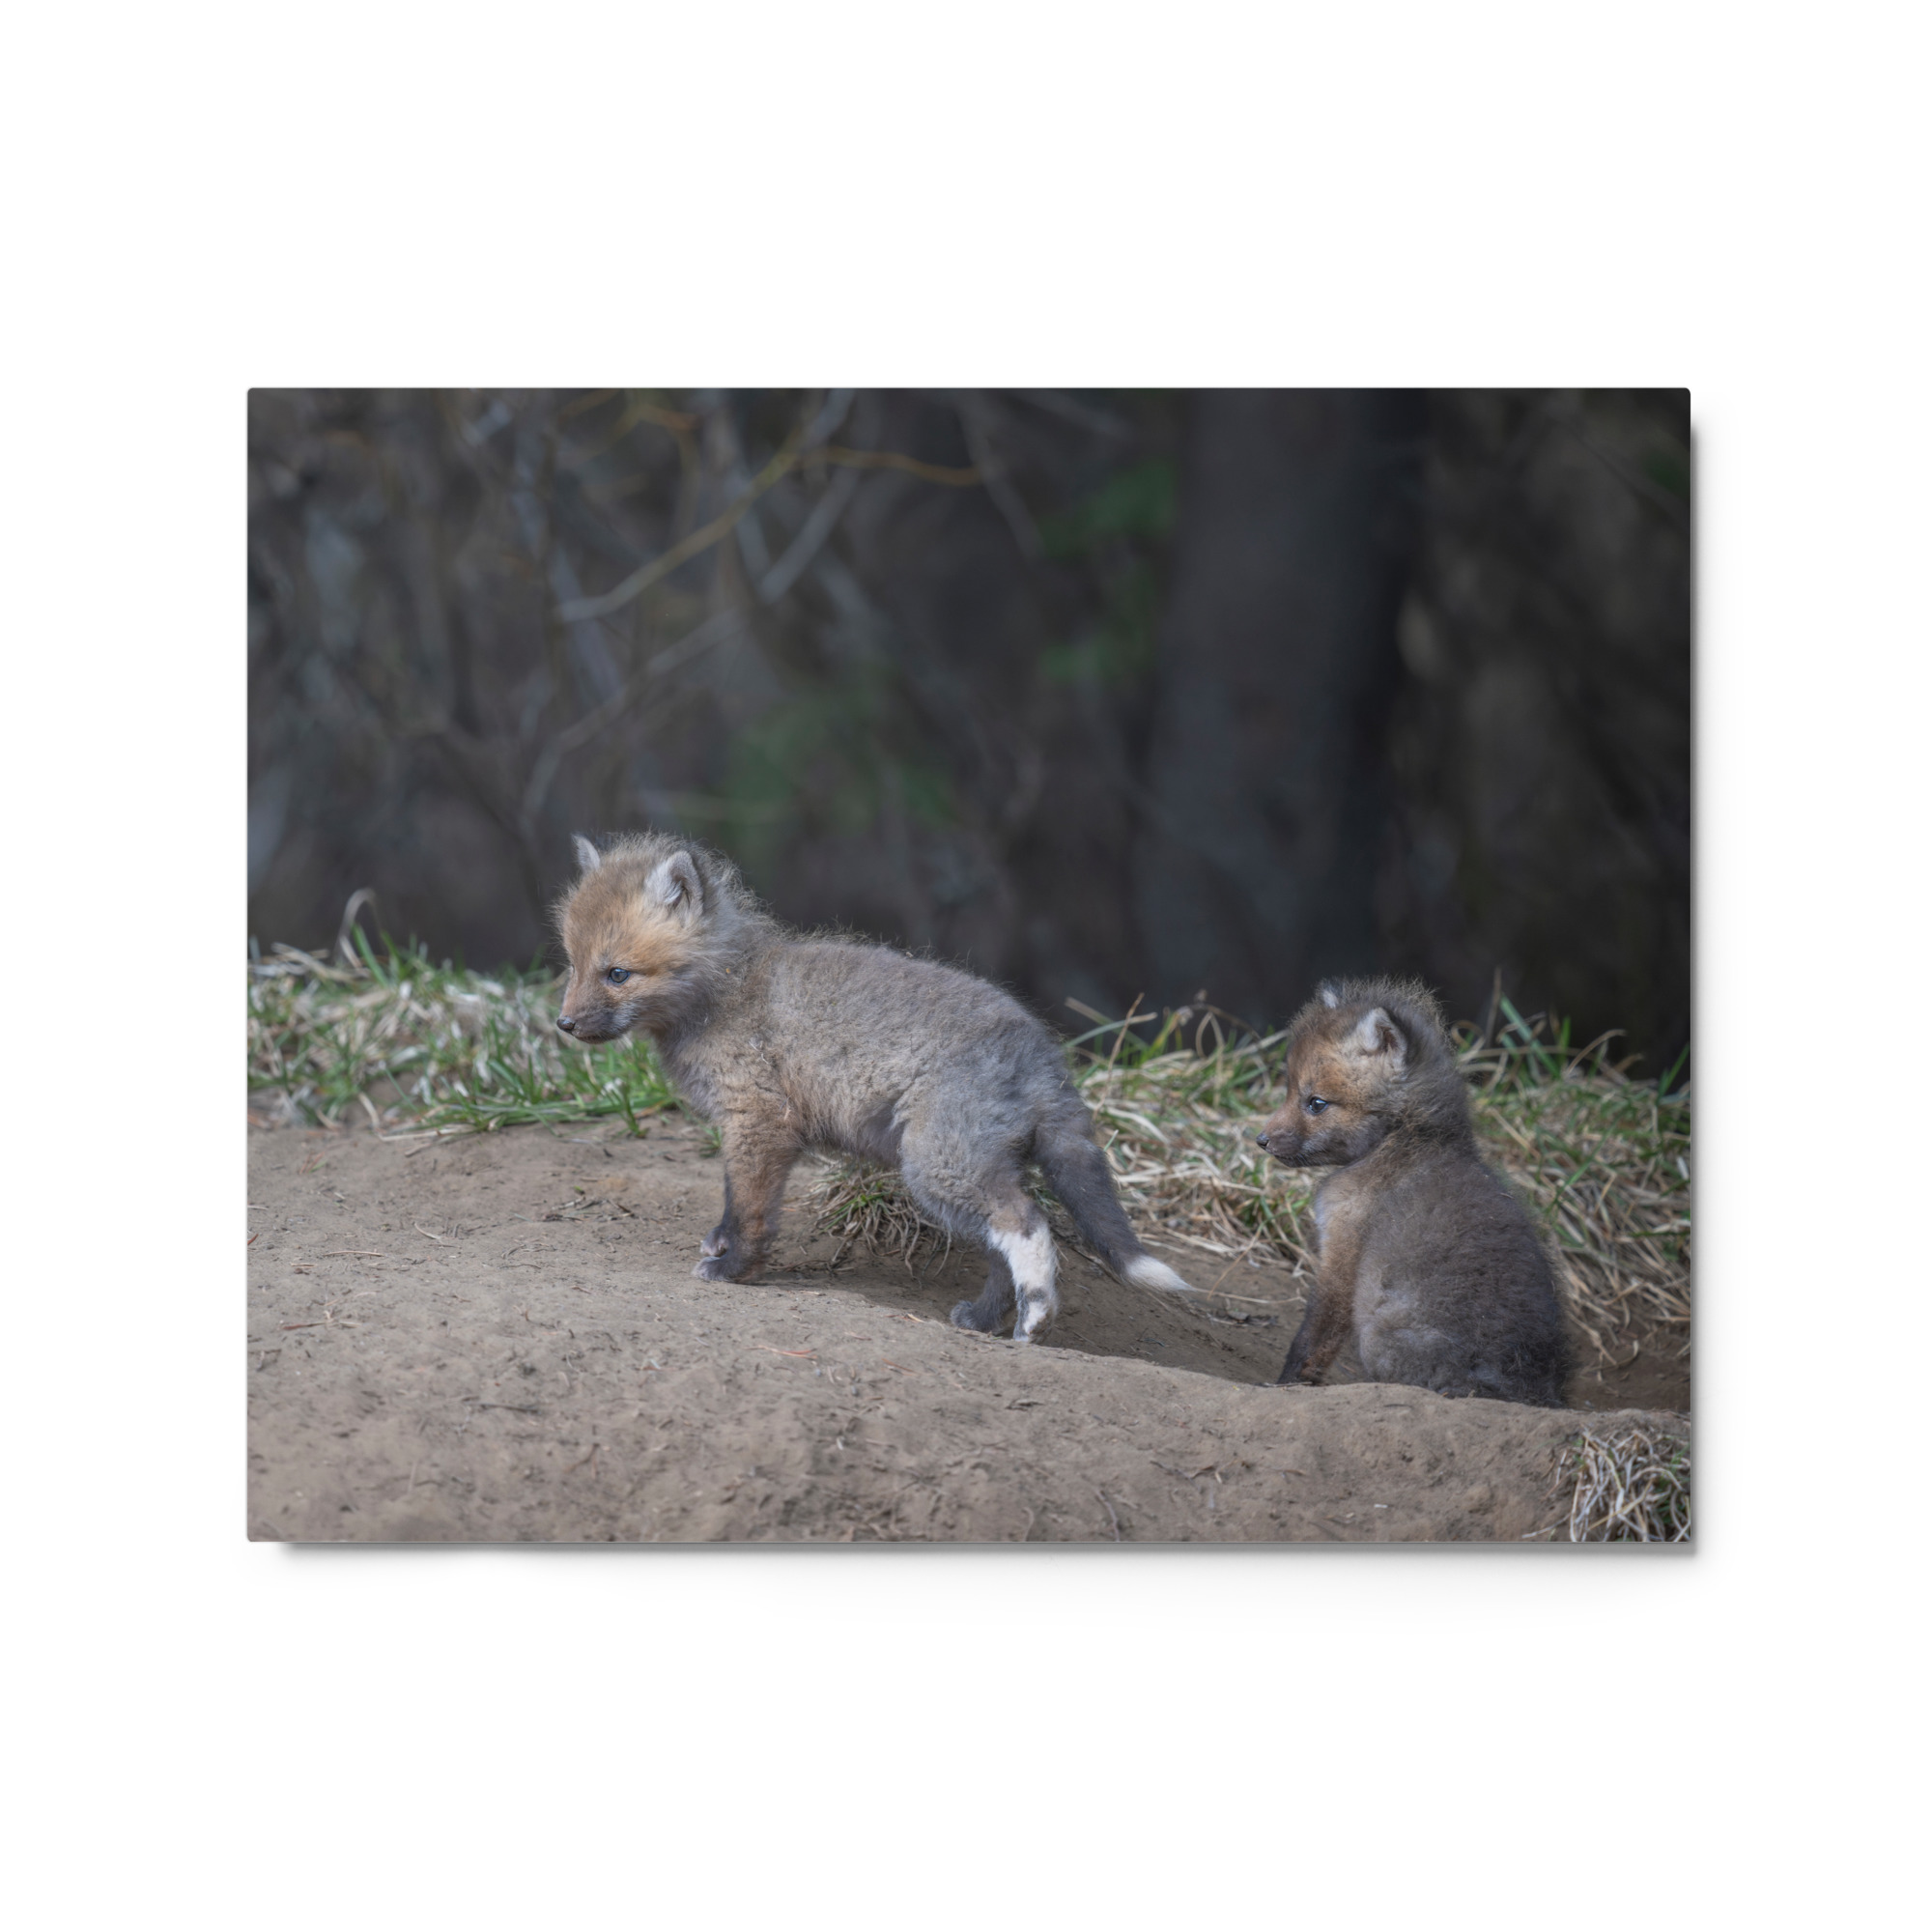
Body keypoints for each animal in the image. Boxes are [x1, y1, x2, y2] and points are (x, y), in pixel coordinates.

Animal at [553, 831, 1197, 1340]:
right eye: (573, 966)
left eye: (618, 974)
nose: (564, 1025)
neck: (725, 991)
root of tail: (1044, 1055)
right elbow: (735, 1202)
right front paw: (722, 1246)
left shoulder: (759, 1122)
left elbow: (750, 1209)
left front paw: (734, 1268)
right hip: (968, 1171)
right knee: (1001, 1247)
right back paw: (985, 1320)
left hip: (938, 1166)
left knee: (1029, 1224)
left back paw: (1036, 1318)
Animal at [1254, 977, 1571, 1406]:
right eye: (1289, 1090)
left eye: (1316, 1103)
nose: (1261, 1140)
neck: (1404, 1139)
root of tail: (1529, 1389)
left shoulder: (1342, 1252)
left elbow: (1312, 1338)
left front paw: (1285, 1386)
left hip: (1378, 1338)